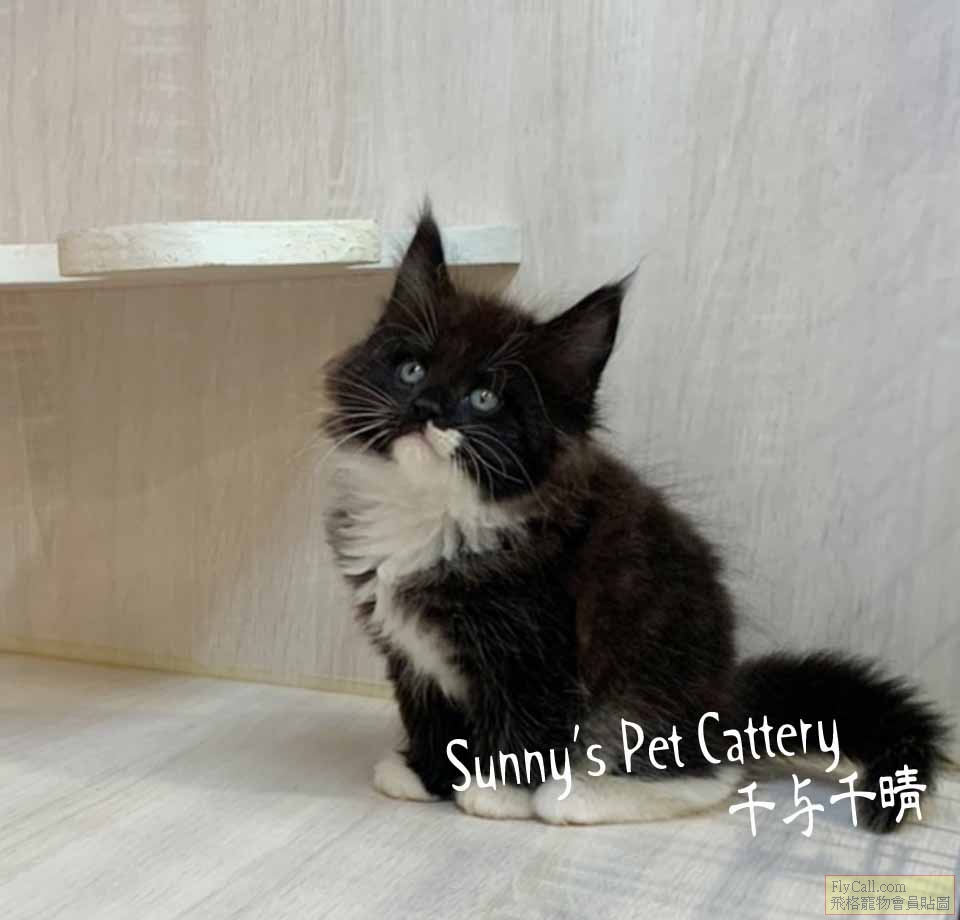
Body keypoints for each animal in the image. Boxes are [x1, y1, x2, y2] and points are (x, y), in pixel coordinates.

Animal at [322, 208, 948, 830]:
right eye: (411, 369)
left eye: (484, 398)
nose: (425, 408)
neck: (430, 513)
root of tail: (727, 699)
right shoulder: (409, 653)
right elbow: (428, 715)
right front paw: (426, 774)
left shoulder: (536, 642)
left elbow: (527, 719)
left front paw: (499, 791)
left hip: (649, 684)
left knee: (706, 772)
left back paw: (578, 795)